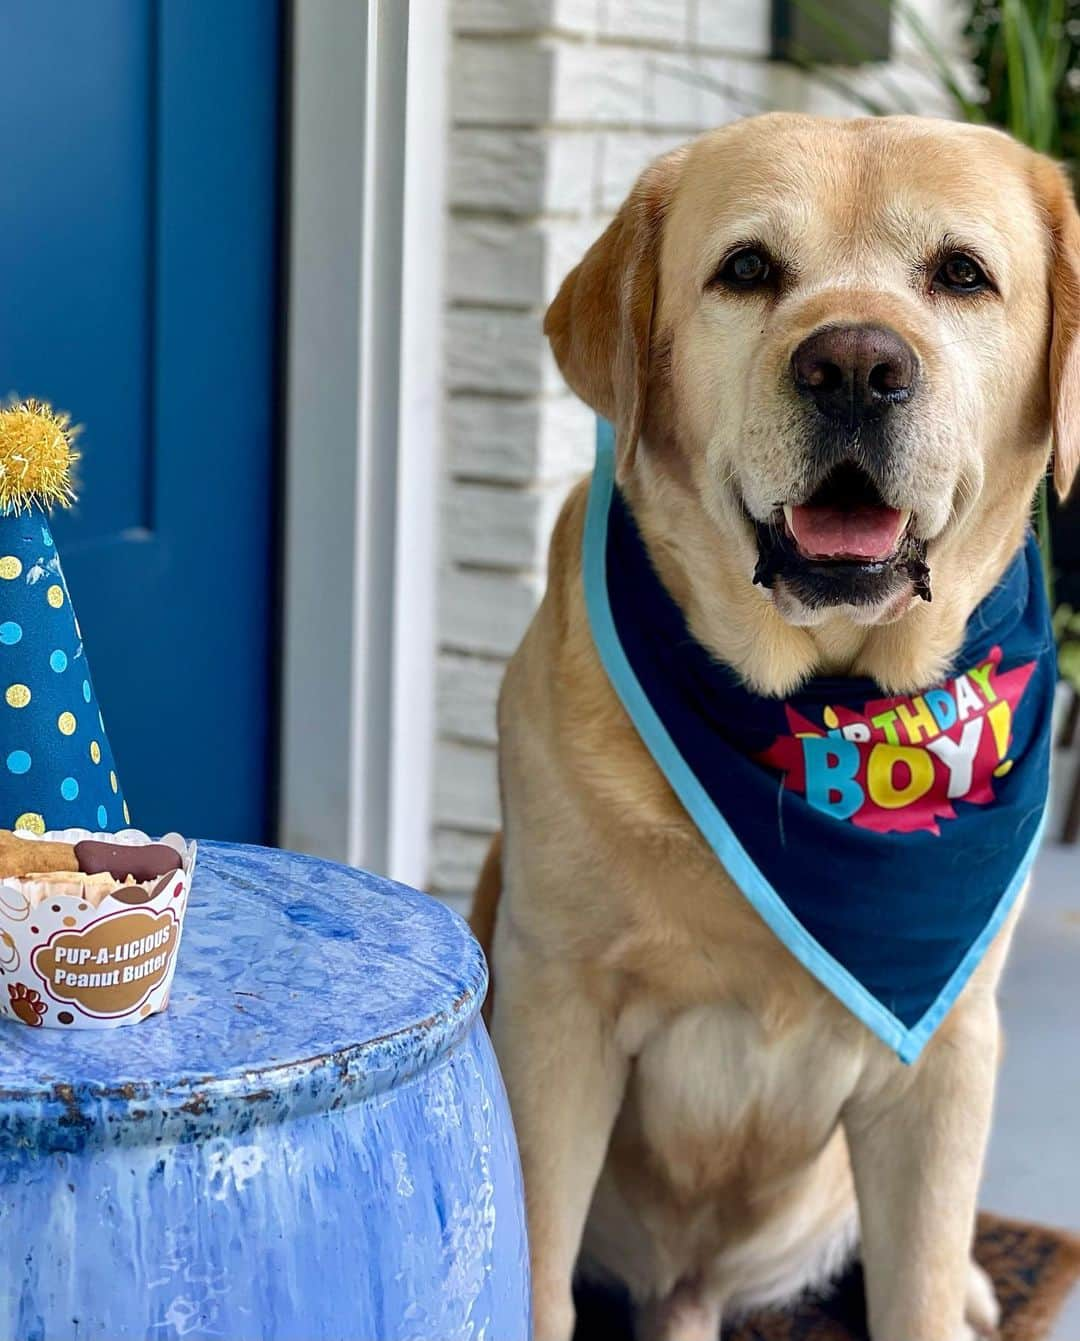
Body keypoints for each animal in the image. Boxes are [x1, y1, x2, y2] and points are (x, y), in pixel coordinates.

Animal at [472, 115, 1078, 1341]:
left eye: (962, 274)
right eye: (747, 268)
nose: (854, 365)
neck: (824, 726)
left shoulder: (946, 1054)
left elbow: (919, 1288)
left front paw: (950, 1288)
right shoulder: (556, 1008)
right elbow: (537, 1270)